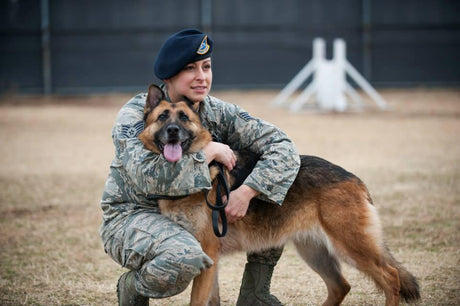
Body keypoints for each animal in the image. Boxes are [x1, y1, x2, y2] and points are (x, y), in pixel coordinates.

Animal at [139, 84, 420, 306]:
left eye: (184, 118)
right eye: (162, 116)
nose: (173, 130)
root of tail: (354, 179)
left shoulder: (207, 254)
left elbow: (198, 300)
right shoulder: (209, 261)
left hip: (350, 246)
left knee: (391, 277)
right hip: (315, 251)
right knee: (341, 286)